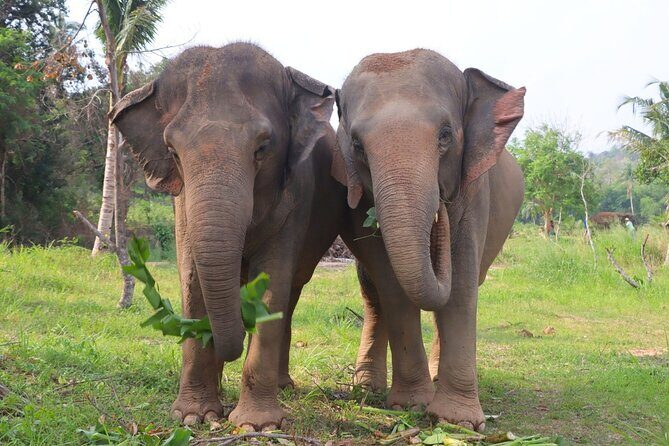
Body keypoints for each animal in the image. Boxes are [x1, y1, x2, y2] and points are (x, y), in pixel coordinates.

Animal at [110, 43, 346, 430]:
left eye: (262, 148)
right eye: (172, 151)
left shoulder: (296, 195)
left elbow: (272, 283)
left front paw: (256, 425)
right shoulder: (181, 203)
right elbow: (192, 278)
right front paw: (193, 416)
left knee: (292, 293)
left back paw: (283, 386)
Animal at [332, 49, 525, 431]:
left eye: (446, 135)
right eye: (357, 145)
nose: (440, 211)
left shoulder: (474, 188)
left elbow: (462, 282)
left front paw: (459, 421)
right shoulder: (354, 195)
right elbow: (390, 282)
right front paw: (409, 405)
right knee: (372, 291)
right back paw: (366, 387)